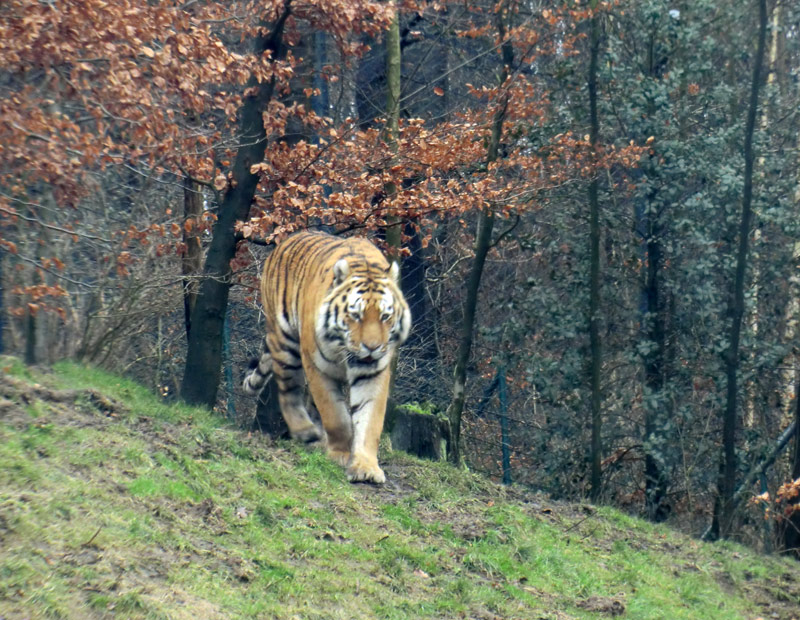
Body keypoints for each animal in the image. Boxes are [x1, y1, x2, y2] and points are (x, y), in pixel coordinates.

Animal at [241, 231, 410, 484]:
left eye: (385, 316)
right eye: (356, 315)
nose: (372, 347)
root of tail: (286, 241)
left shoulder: (373, 372)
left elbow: (369, 420)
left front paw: (366, 468)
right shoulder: (317, 366)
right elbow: (335, 415)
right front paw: (340, 454)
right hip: (286, 343)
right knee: (288, 391)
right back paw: (306, 431)